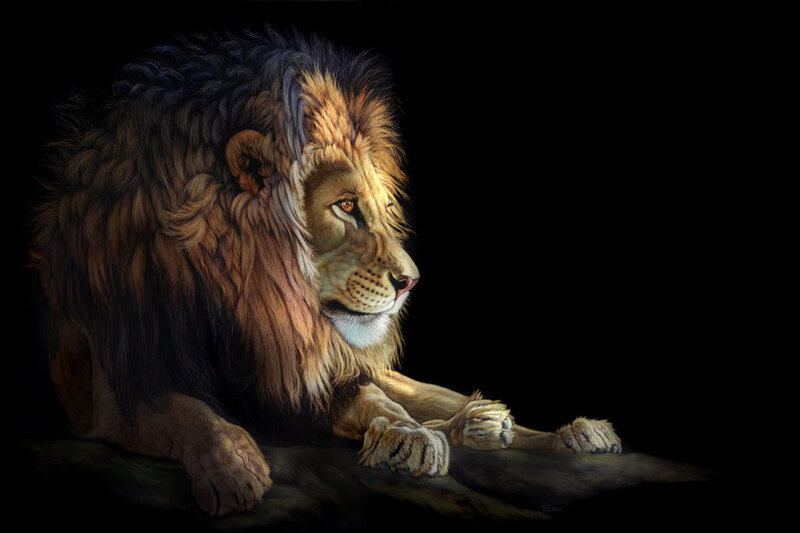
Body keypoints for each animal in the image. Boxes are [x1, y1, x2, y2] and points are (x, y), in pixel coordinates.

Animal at [30, 28, 621, 515]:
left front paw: (407, 436)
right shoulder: (112, 389)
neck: (241, 305)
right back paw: (482, 425)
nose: (411, 282)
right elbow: (186, 411)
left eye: (380, 208)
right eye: (345, 206)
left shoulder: (312, 379)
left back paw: (564, 431)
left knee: (429, 394)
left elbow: (374, 398)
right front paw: (233, 468)